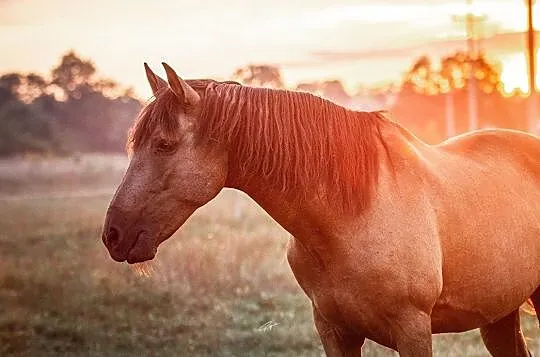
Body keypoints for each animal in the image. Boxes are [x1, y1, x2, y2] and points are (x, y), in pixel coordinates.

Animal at [102, 62, 540, 354]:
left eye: (164, 144)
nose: (113, 235)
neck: (349, 217)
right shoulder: (333, 330)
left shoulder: (413, 330)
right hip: (499, 316)